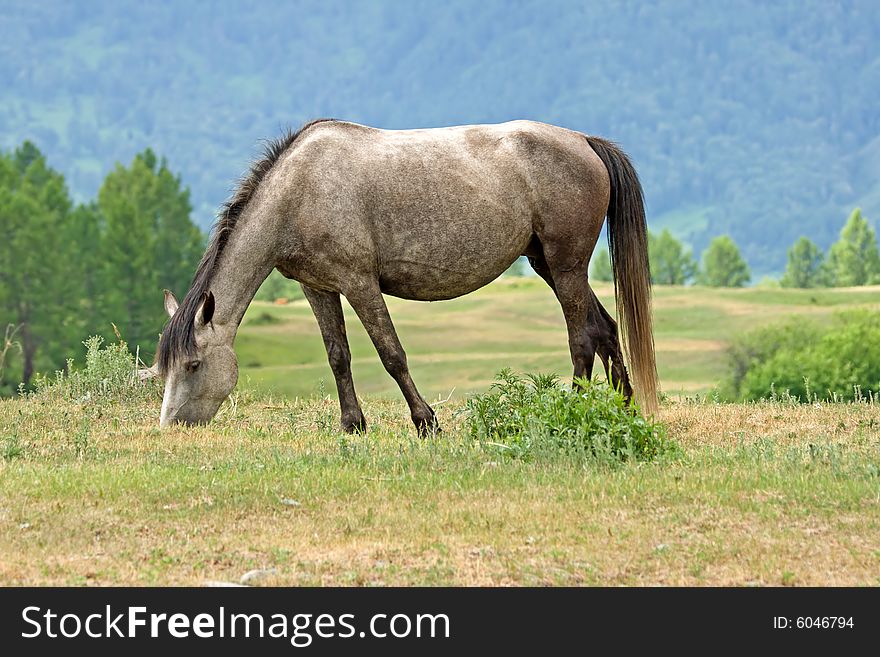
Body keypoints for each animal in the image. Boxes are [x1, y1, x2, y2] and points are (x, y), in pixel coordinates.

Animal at [155, 119, 656, 430]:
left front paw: (425, 422)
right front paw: (352, 426)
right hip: (548, 265)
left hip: (566, 265)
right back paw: (624, 409)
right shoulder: (318, 288)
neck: (298, 192)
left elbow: (391, 354)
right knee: (604, 328)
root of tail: (583, 140)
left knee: (581, 339)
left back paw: (575, 408)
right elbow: (338, 356)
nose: (172, 426)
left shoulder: (359, 283)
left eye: (193, 364)